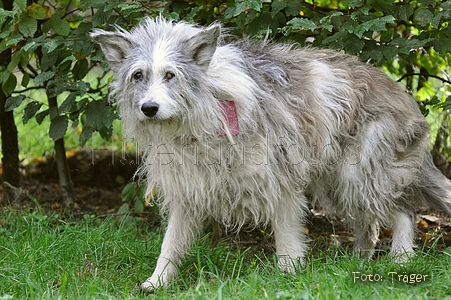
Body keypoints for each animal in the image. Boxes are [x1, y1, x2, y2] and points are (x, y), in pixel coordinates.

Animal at [91, 17, 451, 290]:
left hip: (357, 173)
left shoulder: (280, 180)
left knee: (404, 211)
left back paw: (402, 258)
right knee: (370, 223)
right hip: (336, 182)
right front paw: (158, 282)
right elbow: (171, 244)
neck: (207, 108)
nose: (149, 108)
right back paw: (358, 262)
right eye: (138, 75)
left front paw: (288, 276)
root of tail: (401, 92)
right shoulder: (189, 188)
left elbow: (287, 238)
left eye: (170, 75)